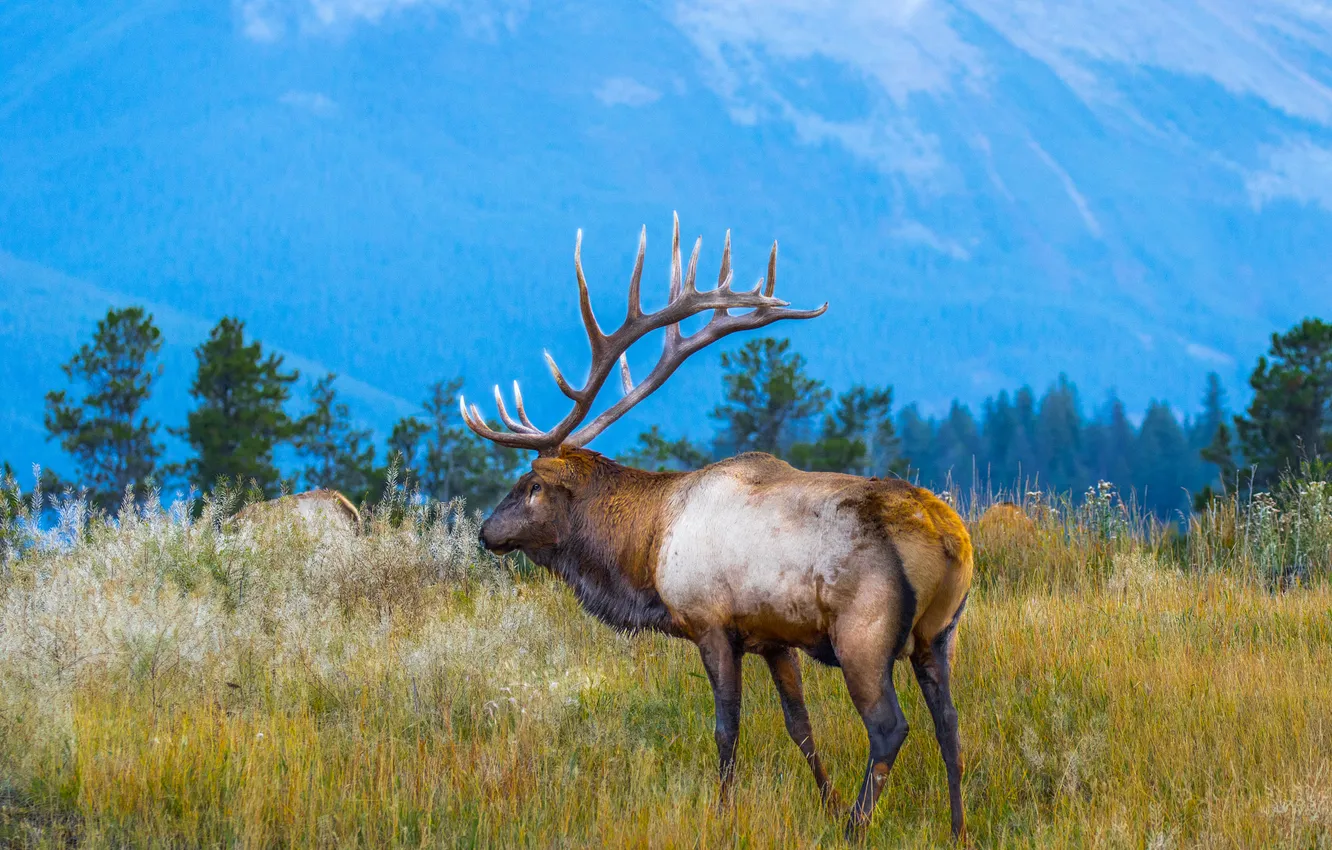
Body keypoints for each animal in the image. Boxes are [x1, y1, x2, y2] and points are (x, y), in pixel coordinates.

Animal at [461, 215, 973, 841]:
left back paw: (856, 826)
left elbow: (727, 728)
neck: (647, 552)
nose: (487, 531)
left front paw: (726, 813)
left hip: (864, 632)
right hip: (939, 633)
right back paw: (957, 828)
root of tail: (949, 540)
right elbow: (799, 725)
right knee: (950, 725)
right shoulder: (773, 638)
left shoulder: (710, 623)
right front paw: (824, 802)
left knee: (890, 727)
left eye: (531, 486)